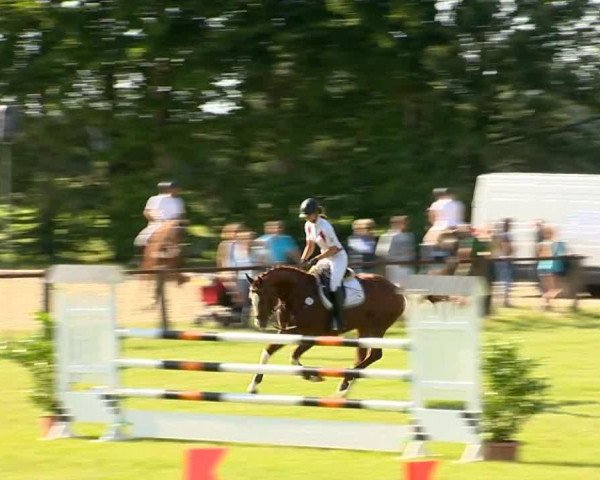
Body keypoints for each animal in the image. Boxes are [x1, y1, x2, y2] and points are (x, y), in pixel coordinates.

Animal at [245, 264, 408, 396]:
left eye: (264, 296)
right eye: (251, 298)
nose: (259, 322)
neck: (297, 294)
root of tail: (396, 289)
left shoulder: (312, 335)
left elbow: (293, 356)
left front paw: (312, 376)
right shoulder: (286, 331)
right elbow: (268, 351)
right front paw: (253, 386)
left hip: (377, 328)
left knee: (375, 355)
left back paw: (344, 384)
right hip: (364, 329)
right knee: (361, 357)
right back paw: (344, 389)